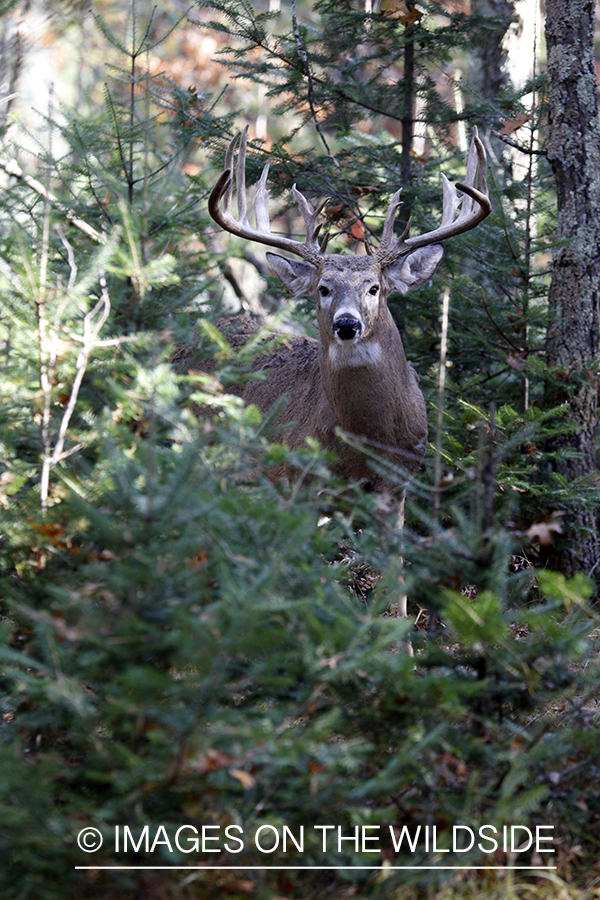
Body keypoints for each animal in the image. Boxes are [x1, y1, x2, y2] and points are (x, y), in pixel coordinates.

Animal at [204, 125, 490, 620]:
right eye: (323, 288)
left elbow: (396, 586)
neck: (363, 441)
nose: (347, 324)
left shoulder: (399, 483)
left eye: (374, 287)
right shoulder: (299, 480)